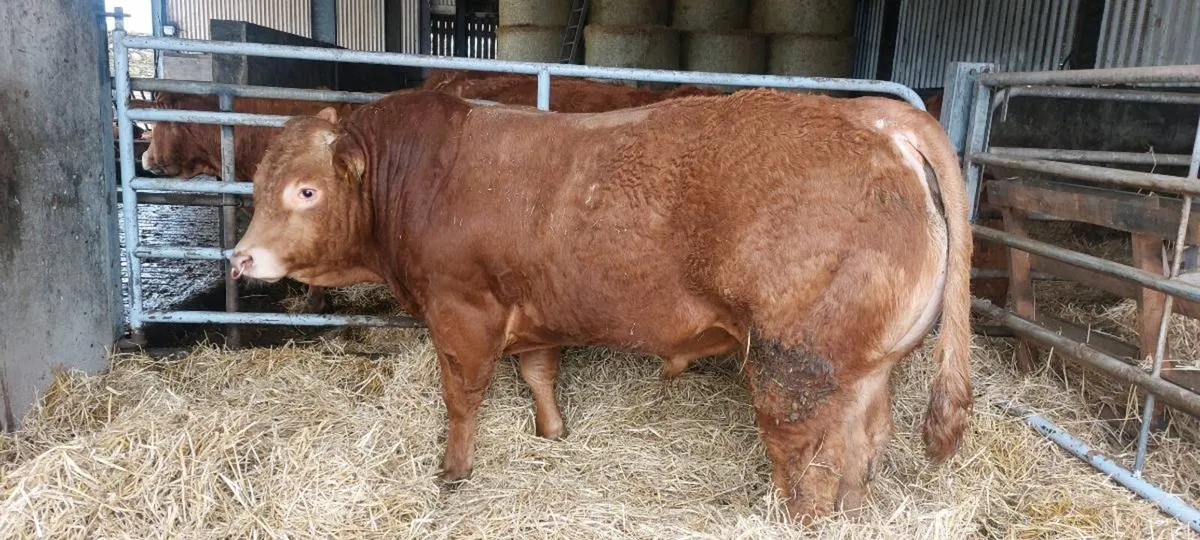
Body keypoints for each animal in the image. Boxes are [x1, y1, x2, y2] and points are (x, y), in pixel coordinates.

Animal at [226, 88, 973, 520]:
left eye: (306, 191)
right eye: (257, 183)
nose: (240, 257)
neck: (422, 174)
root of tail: (873, 112)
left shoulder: (461, 308)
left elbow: (462, 396)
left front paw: (453, 472)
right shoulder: (530, 312)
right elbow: (539, 373)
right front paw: (553, 434)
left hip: (796, 365)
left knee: (811, 462)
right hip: (868, 369)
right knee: (865, 447)